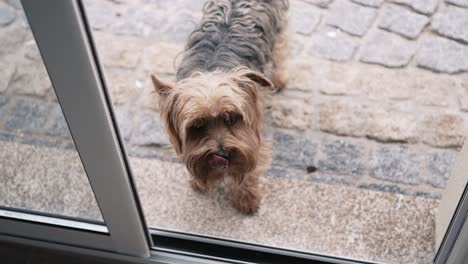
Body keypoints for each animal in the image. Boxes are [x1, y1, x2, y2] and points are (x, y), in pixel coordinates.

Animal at [152, 0, 288, 213]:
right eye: (197, 126)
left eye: (232, 118)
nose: (222, 154)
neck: (212, 69)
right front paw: (198, 181)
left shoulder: (255, 136)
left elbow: (252, 165)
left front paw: (247, 198)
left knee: (281, 50)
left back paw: (279, 80)